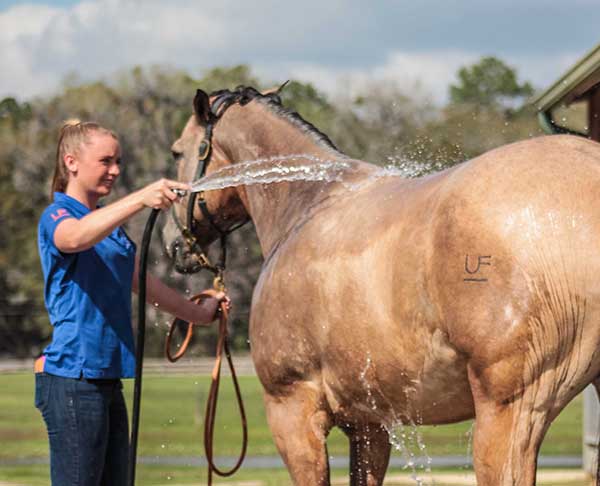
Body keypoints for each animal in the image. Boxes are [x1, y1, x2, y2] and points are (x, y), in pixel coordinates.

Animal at [162, 85, 600, 484]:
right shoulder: (369, 423)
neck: (310, 204)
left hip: (510, 410)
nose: (172, 243)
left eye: (177, 152)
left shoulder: (292, 409)